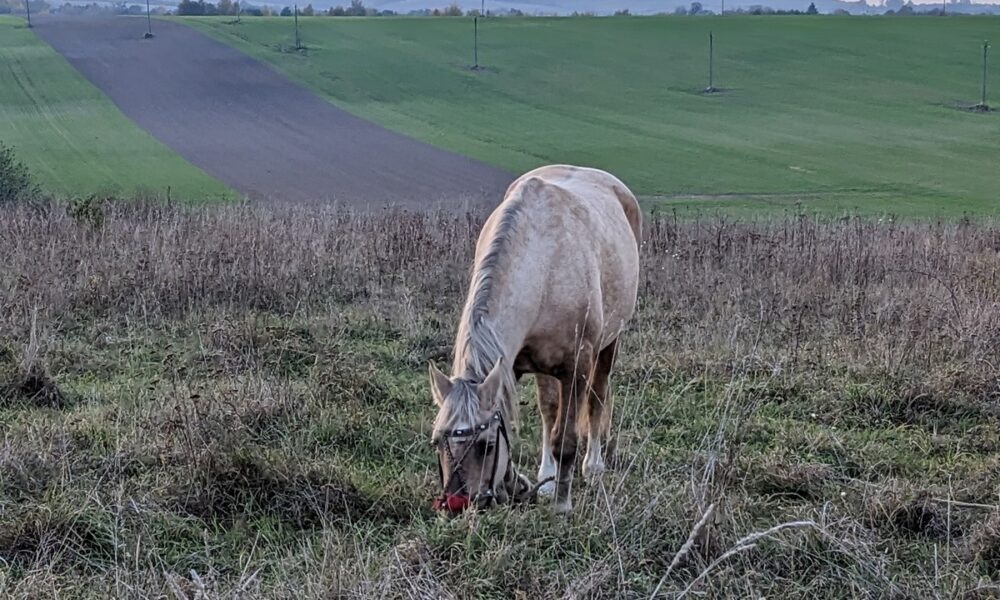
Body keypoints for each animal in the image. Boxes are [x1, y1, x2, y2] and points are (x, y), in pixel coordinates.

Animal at [428, 164, 640, 516]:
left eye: (486, 446)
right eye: (437, 440)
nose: (457, 504)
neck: (544, 264)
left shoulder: (576, 369)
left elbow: (566, 439)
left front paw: (562, 506)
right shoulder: (510, 365)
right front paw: (521, 484)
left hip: (610, 344)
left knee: (597, 398)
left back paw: (592, 467)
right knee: (549, 411)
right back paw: (547, 478)